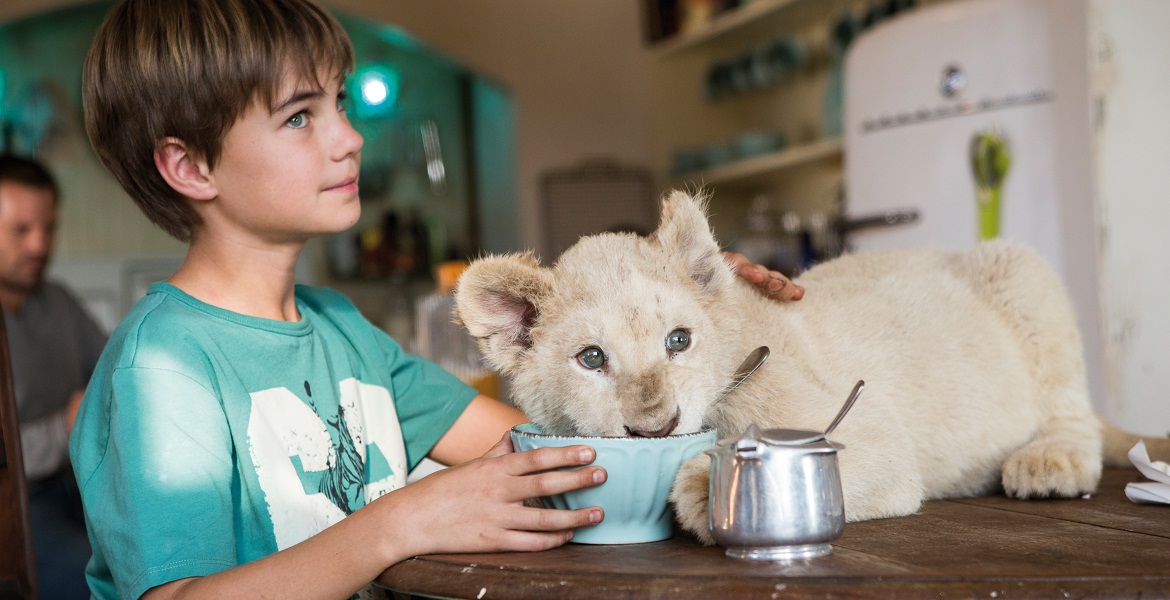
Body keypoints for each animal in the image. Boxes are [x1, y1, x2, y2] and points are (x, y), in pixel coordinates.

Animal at [453, 190, 1165, 544]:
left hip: (1023, 270)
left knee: (1074, 412)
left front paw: (699, 490)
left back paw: (1050, 462)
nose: (656, 428)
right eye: (592, 358)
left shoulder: (878, 440)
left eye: (678, 341)